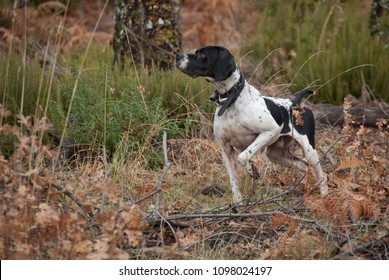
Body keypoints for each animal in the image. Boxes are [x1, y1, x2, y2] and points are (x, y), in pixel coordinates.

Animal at [174, 46, 326, 203]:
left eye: (202, 55)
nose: (178, 56)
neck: (231, 99)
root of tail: (295, 104)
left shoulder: (270, 131)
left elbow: (243, 156)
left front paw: (252, 171)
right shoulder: (225, 149)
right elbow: (234, 181)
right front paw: (238, 204)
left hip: (309, 150)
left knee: (321, 174)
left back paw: (324, 195)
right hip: (275, 154)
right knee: (303, 165)